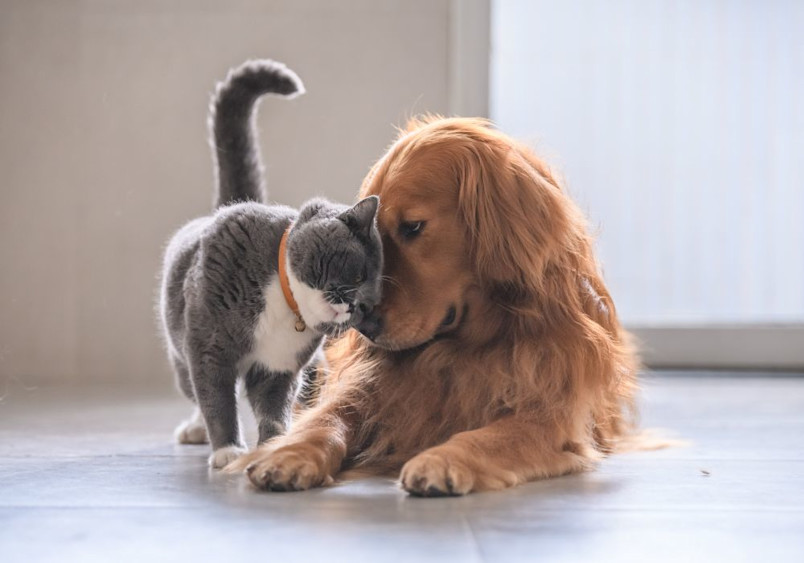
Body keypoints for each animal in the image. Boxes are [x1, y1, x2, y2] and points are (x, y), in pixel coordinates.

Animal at [159, 59, 384, 470]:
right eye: (359, 273)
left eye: (369, 305)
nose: (355, 305)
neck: (284, 302)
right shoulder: (209, 347)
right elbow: (216, 397)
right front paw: (227, 449)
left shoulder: (279, 367)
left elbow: (273, 406)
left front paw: (275, 444)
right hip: (179, 347)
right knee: (194, 388)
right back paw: (196, 429)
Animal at [229, 117, 636, 496]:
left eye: (412, 227)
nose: (364, 327)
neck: (464, 347)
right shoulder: (367, 389)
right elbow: (325, 420)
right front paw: (287, 454)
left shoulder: (551, 416)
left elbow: (490, 435)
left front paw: (442, 460)